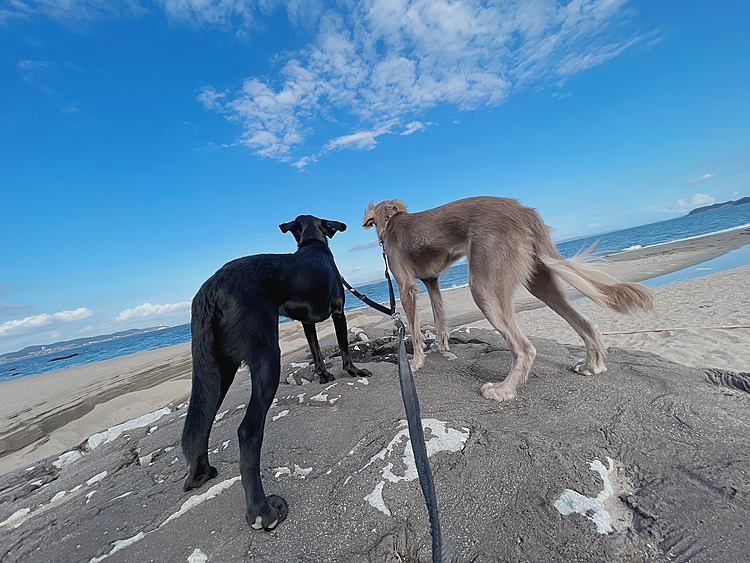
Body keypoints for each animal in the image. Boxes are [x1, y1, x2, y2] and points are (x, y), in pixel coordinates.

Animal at [182, 214, 370, 532]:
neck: (313, 243)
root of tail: (212, 289)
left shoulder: (307, 322)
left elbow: (316, 350)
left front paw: (323, 375)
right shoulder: (338, 312)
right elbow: (344, 347)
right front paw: (352, 370)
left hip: (218, 368)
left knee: (199, 425)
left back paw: (201, 473)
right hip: (267, 358)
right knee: (248, 431)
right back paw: (262, 511)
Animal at [362, 197, 652, 400]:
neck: (393, 220)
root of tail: (524, 211)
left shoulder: (406, 287)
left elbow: (413, 330)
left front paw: (415, 363)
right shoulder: (432, 282)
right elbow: (440, 319)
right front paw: (440, 347)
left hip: (484, 287)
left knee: (524, 348)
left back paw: (503, 390)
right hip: (540, 281)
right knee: (587, 325)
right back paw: (591, 366)